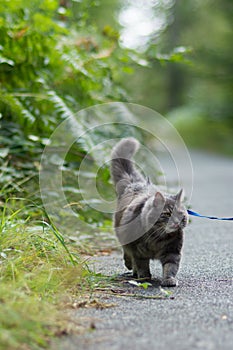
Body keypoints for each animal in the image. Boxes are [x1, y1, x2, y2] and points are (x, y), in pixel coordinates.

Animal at [110, 137, 188, 288]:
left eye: (180, 215)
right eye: (167, 214)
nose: (176, 223)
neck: (158, 238)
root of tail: (136, 183)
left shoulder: (172, 252)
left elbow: (170, 267)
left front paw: (169, 280)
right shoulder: (138, 251)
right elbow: (142, 265)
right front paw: (145, 278)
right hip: (123, 236)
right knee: (127, 253)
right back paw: (131, 269)